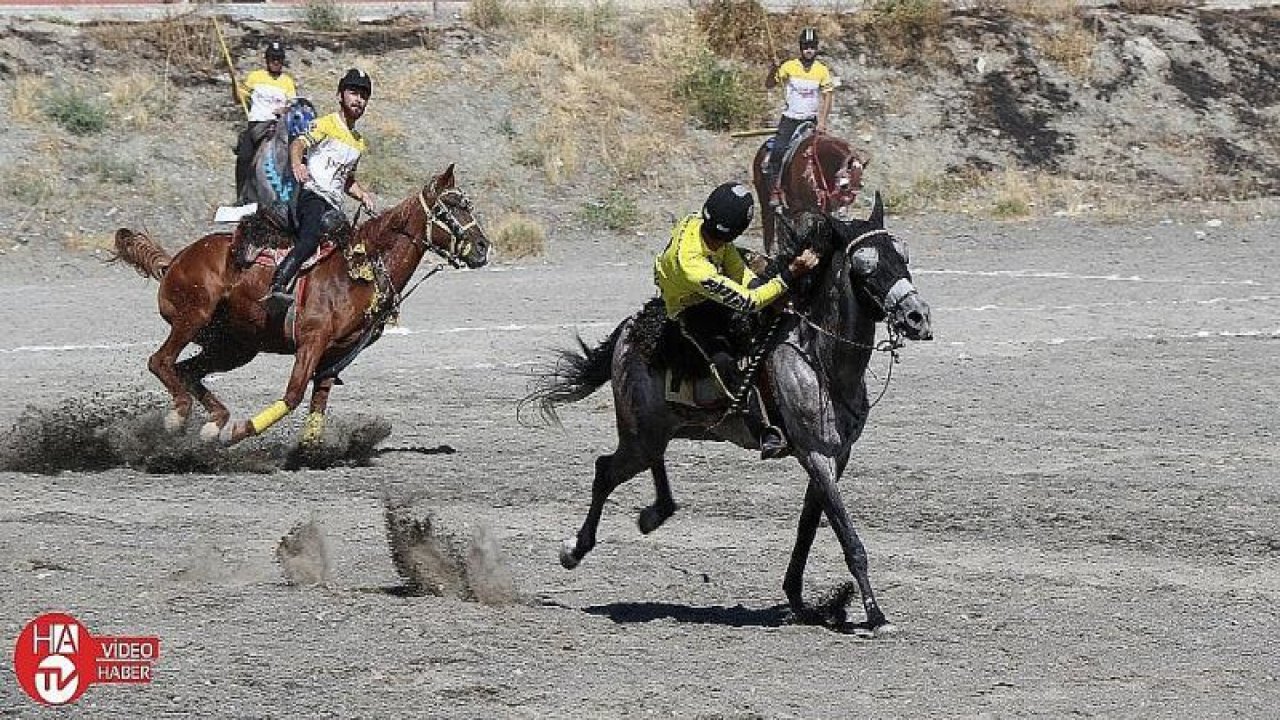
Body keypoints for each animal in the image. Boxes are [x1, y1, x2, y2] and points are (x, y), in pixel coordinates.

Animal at [115, 163, 488, 445]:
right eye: (449, 208)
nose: (483, 247)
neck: (357, 271)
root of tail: (174, 261)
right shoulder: (312, 341)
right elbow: (293, 396)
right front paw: (240, 432)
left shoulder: (335, 355)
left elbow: (318, 402)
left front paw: (310, 450)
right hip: (193, 315)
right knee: (160, 361)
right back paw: (180, 416)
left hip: (234, 346)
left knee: (187, 370)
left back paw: (213, 422)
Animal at [524, 193, 936, 630]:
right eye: (865, 267)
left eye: (904, 255)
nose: (917, 316)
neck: (818, 358)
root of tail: (629, 331)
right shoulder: (814, 454)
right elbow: (848, 537)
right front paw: (876, 615)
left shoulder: (836, 455)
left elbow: (808, 527)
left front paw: (800, 599)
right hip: (639, 432)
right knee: (606, 470)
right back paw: (574, 549)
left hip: (656, 430)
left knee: (649, 463)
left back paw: (654, 514)